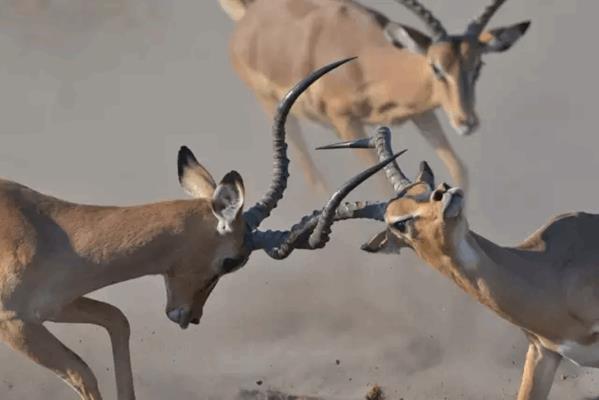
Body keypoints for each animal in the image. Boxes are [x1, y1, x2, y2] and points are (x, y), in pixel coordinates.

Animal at [0, 59, 402, 400]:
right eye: (231, 261)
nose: (190, 316)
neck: (56, 232)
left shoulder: (54, 307)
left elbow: (118, 321)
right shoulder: (15, 323)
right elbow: (82, 372)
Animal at [218, 0, 531, 194]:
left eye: (477, 66)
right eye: (436, 67)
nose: (466, 121)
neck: (365, 60)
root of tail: (249, 16)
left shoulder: (421, 113)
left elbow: (458, 169)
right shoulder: (346, 122)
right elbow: (380, 183)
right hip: (275, 110)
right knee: (313, 179)